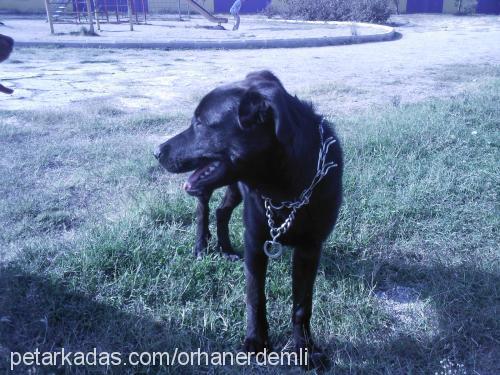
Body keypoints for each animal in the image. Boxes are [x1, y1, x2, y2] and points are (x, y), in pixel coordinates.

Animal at [156, 71, 344, 370]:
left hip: (234, 188)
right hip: (211, 187)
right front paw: (256, 342)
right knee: (203, 208)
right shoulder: (255, 240)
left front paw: (304, 348)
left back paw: (226, 249)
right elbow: (255, 295)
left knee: (221, 211)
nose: (157, 151)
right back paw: (202, 246)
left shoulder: (310, 249)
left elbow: (302, 305)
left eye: (200, 122)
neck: (283, 189)